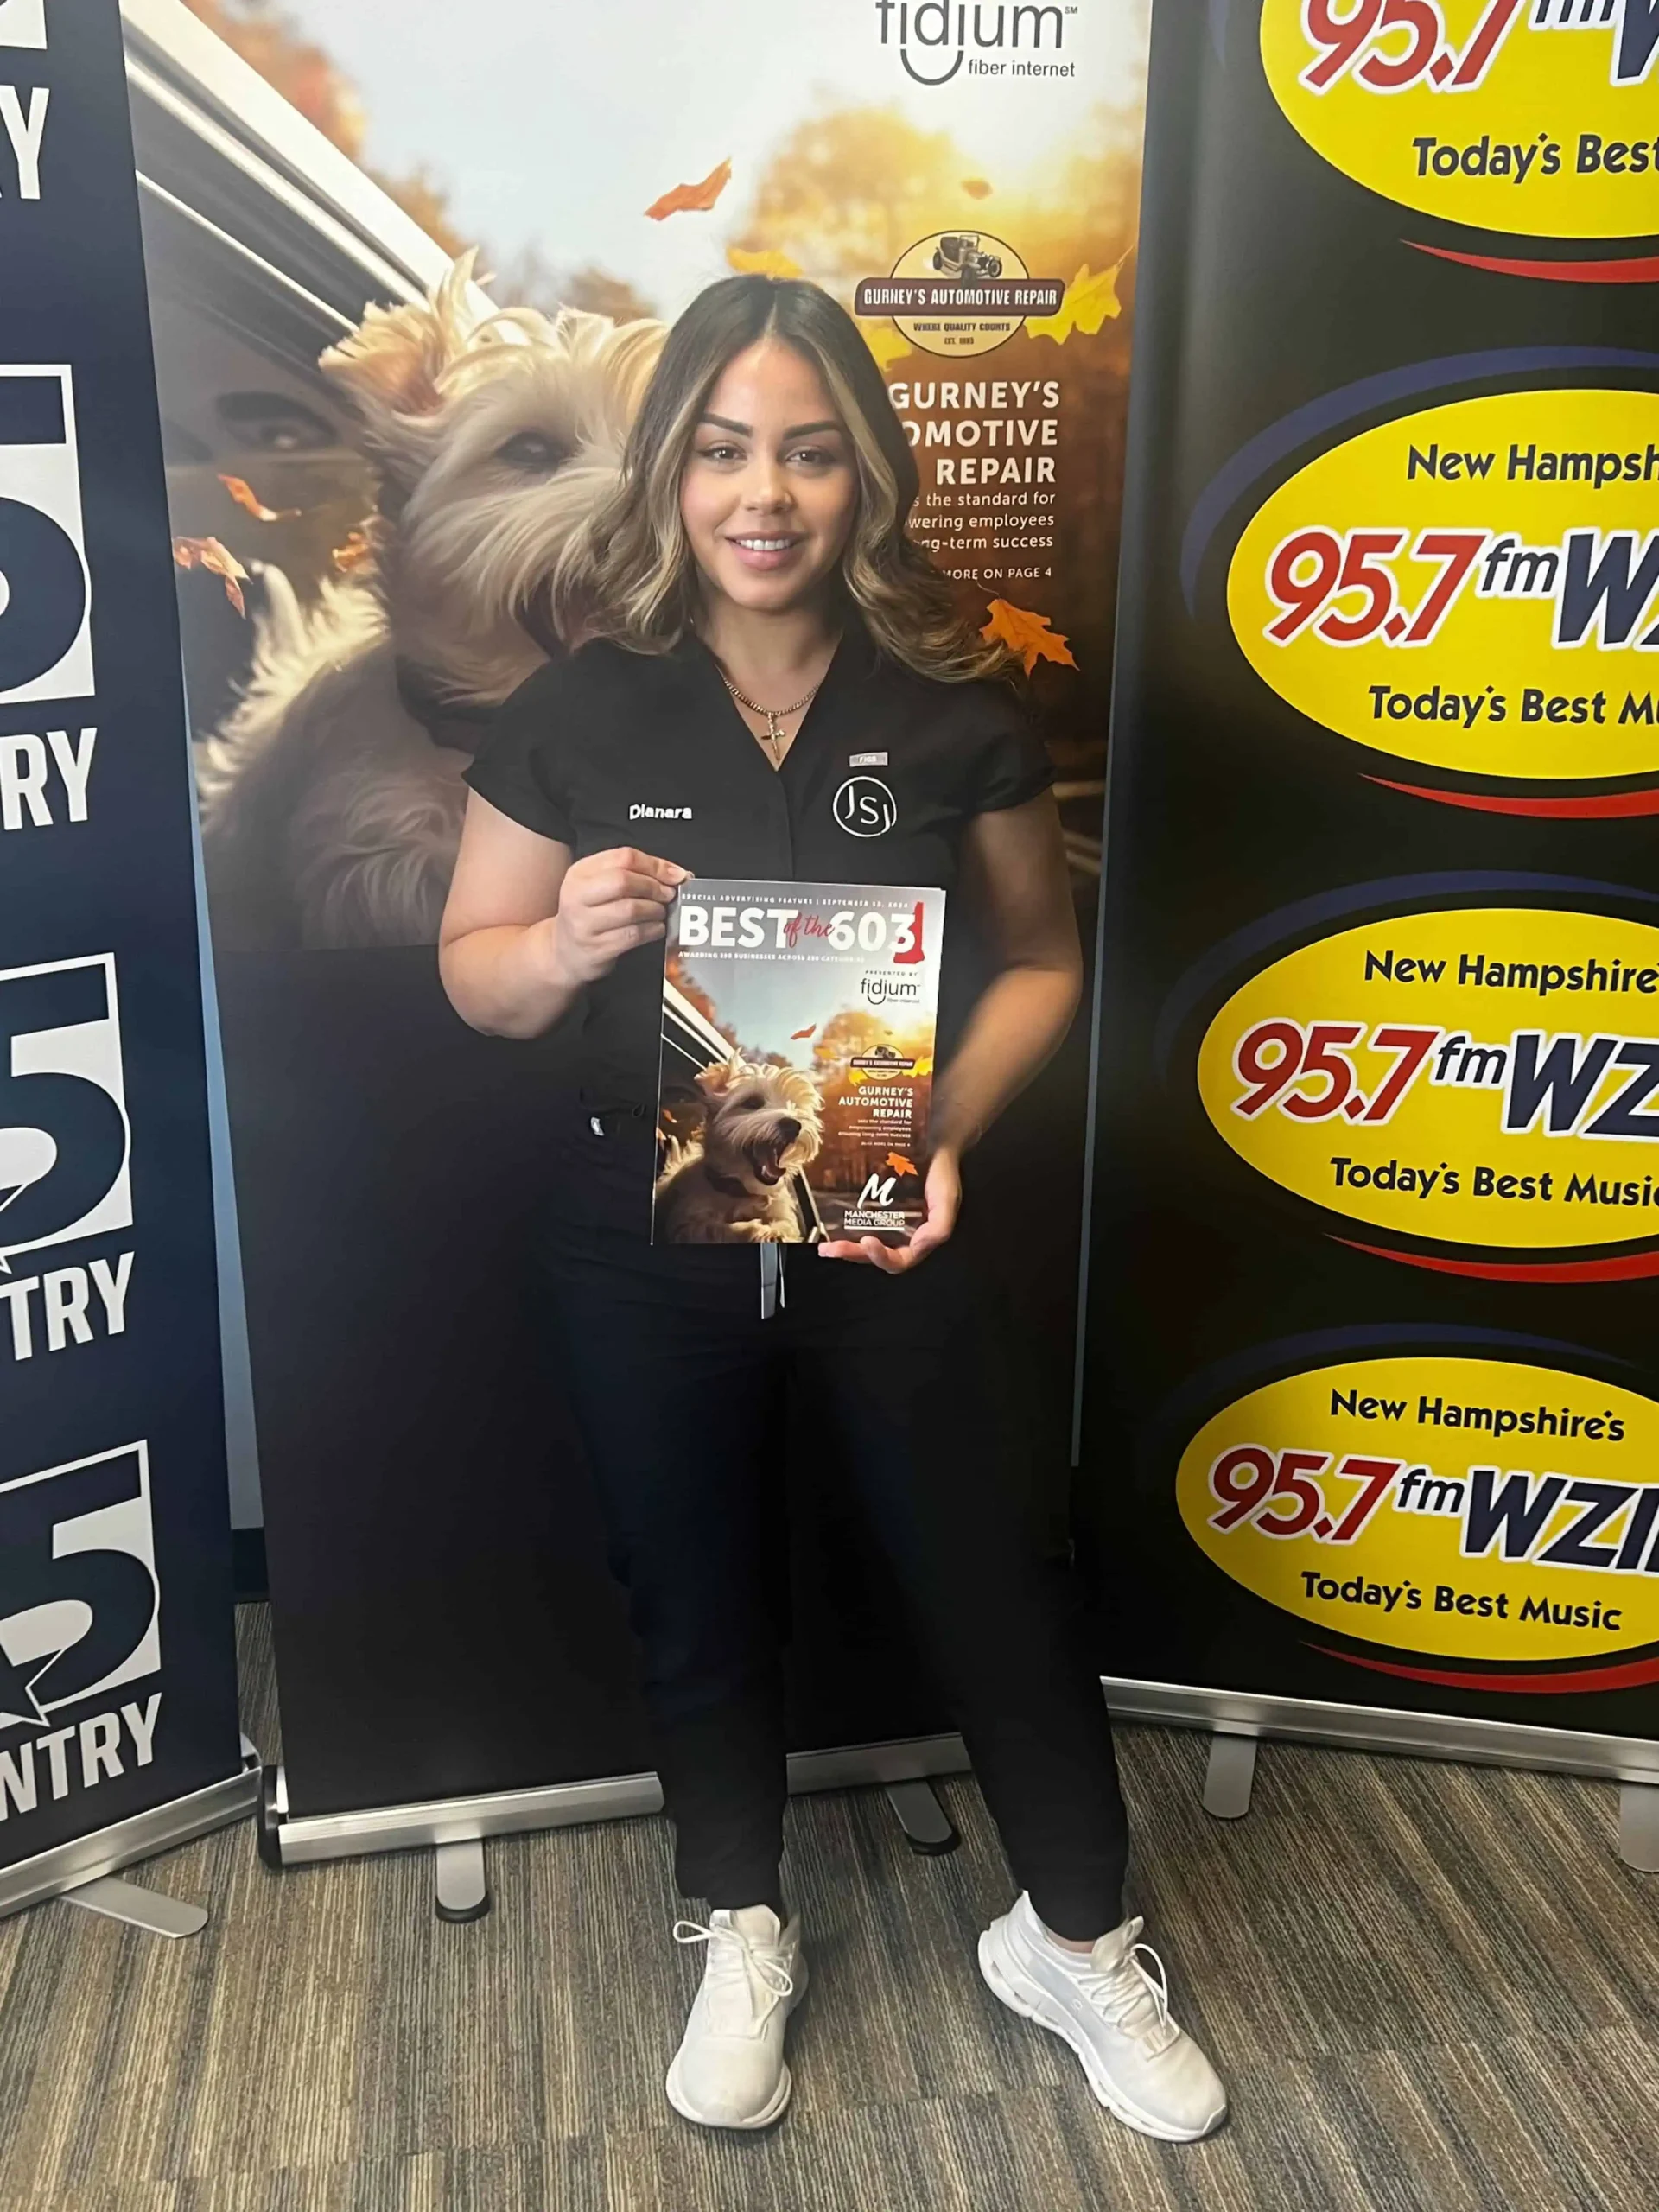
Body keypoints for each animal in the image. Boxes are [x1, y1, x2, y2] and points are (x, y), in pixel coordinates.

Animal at [654, 1057, 827, 1247]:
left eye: (795, 1106)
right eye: (752, 1103)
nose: (793, 1125)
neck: (743, 1193)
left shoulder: (783, 1213)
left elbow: (786, 1225)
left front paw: (774, 1232)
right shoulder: (687, 1223)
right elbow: (717, 1228)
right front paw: (757, 1230)